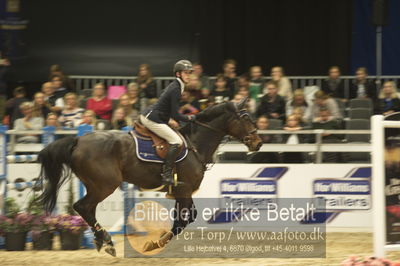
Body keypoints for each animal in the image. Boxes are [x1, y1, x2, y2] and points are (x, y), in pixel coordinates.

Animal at [35, 98, 262, 256]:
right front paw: (154, 243)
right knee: (82, 206)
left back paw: (102, 241)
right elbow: (183, 220)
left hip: (96, 185)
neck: (195, 144)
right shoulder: (184, 189)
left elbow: (184, 219)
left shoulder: (180, 192)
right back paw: (106, 241)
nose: (258, 143)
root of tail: (78, 141)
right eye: (245, 118)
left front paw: (156, 241)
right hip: (104, 185)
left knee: (87, 208)